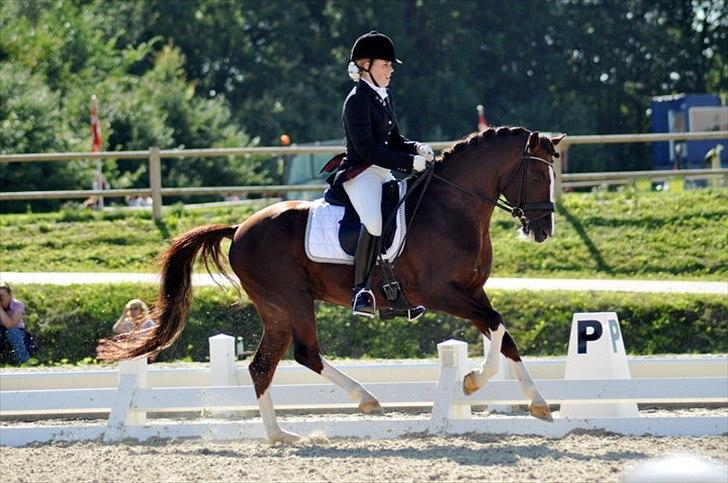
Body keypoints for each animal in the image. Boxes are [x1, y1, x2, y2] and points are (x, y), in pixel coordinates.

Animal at [98, 126, 566, 442]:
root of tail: (241, 227)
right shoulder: (442, 294)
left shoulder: (471, 292)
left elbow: (503, 335)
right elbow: (498, 326)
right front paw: (472, 382)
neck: (451, 207)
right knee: (305, 354)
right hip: (292, 301)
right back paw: (364, 399)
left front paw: (534, 402)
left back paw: (281, 435)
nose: (543, 230)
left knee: (262, 366)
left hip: (276, 311)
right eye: (538, 176)